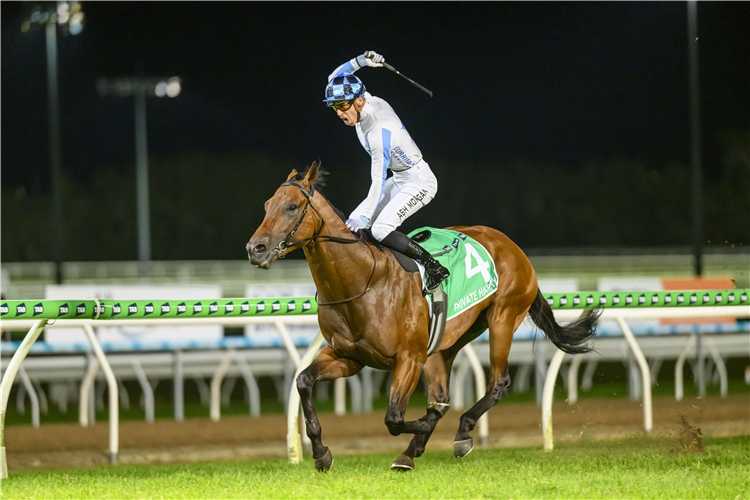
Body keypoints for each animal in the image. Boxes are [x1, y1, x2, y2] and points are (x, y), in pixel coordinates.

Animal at [247, 162, 600, 470]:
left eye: (292, 206)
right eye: (266, 205)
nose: (255, 248)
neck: (362, 280)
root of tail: (511, 245)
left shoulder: (409, 358)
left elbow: (394, 419)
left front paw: (425, 428)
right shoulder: (348, 356)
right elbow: (304, 381)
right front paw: (321, 453)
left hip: (503, 317)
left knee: (498, 384)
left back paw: (460, 432)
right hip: (449, 340)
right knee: (443, 394)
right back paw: (413, 451)